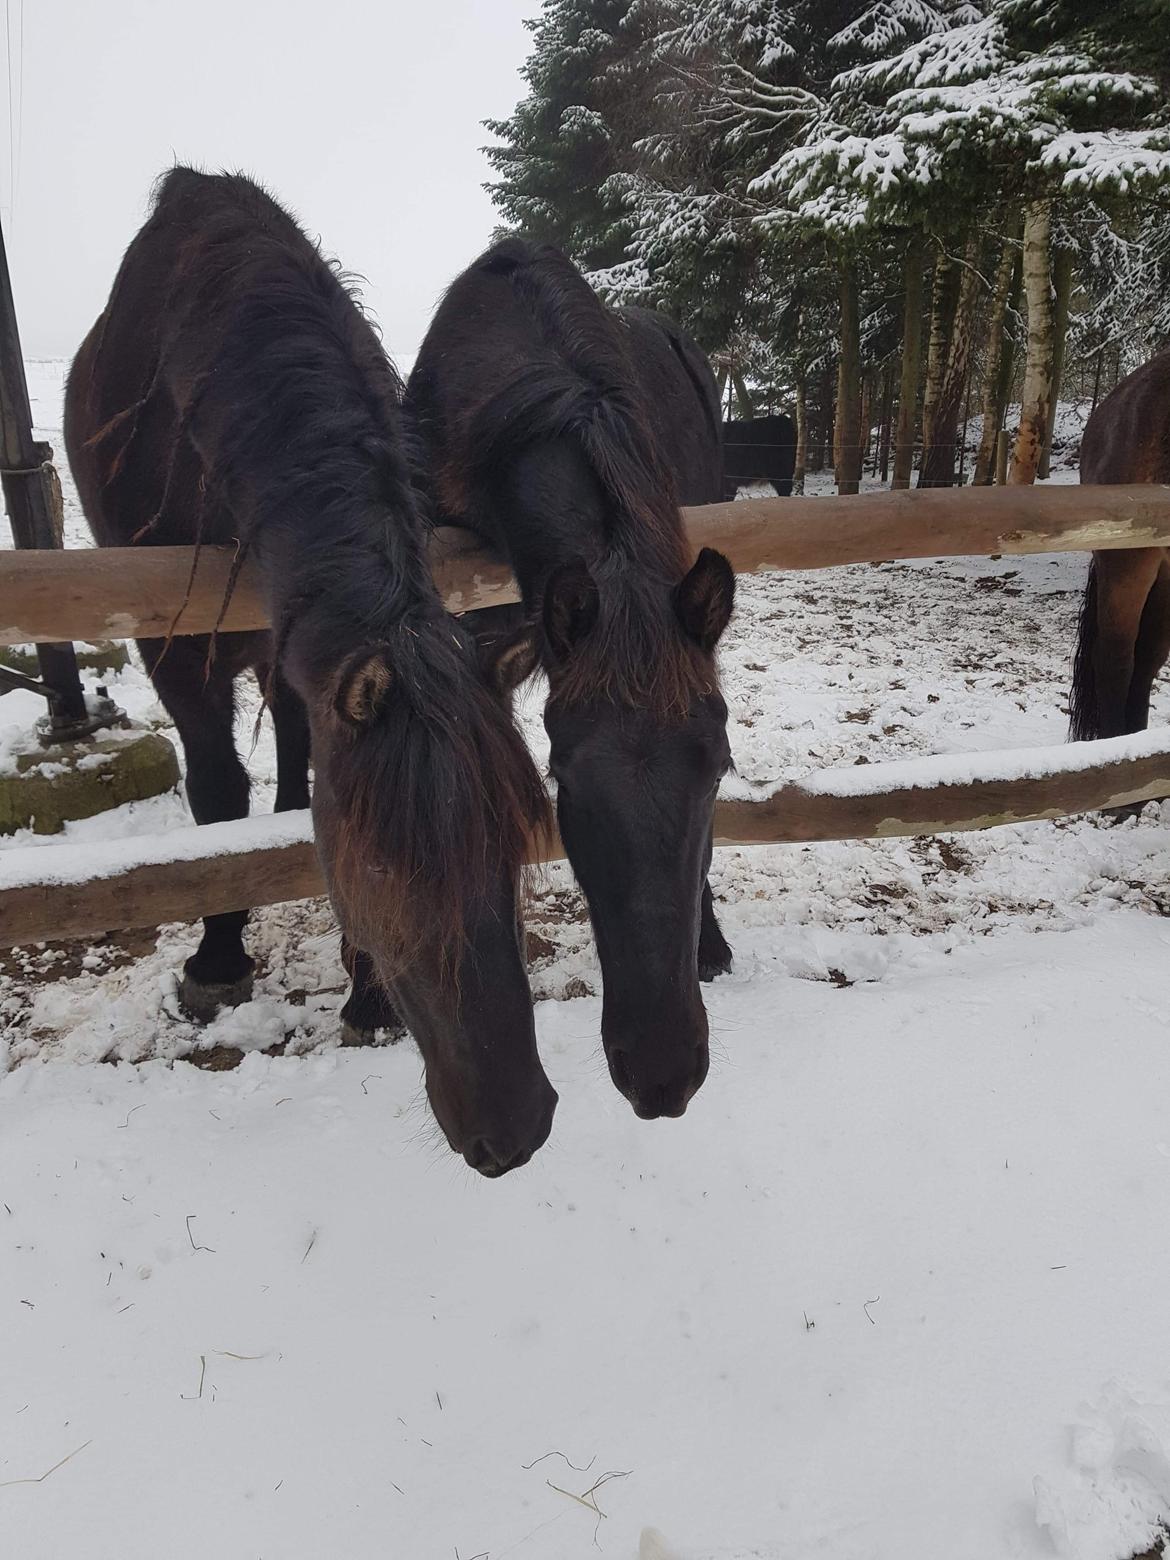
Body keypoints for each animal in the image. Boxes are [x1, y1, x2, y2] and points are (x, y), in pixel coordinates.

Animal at [63, 167, 555, 1173]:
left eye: (517, 841)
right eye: (387, 870)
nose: (519, 1127)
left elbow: (317, 784)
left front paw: (365, 994)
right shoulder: (176, 652)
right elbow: (217, 794)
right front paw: (218, 963)